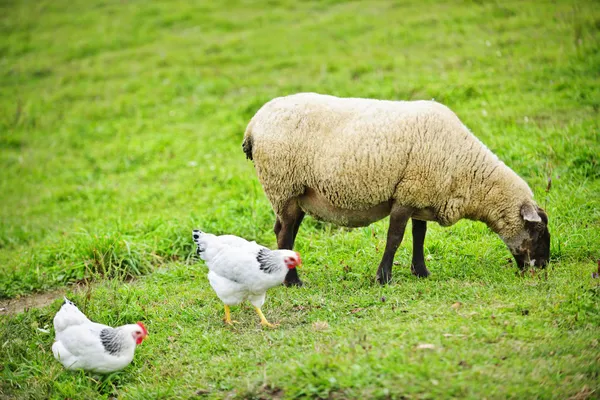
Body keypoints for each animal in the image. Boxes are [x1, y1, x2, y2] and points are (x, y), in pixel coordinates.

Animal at [241, 92, 552, 284]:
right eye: (537, 230)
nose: (544, 266)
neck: (467, 172)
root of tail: (253, 125)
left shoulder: (420, 195)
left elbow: (419, 236)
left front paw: (421, 272)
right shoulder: (406, 196)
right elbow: (395, 238)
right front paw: (384, 278)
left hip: (296, 194)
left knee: (285, 230)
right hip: (283, 185)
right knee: (284, 234)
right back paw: (293, 282)